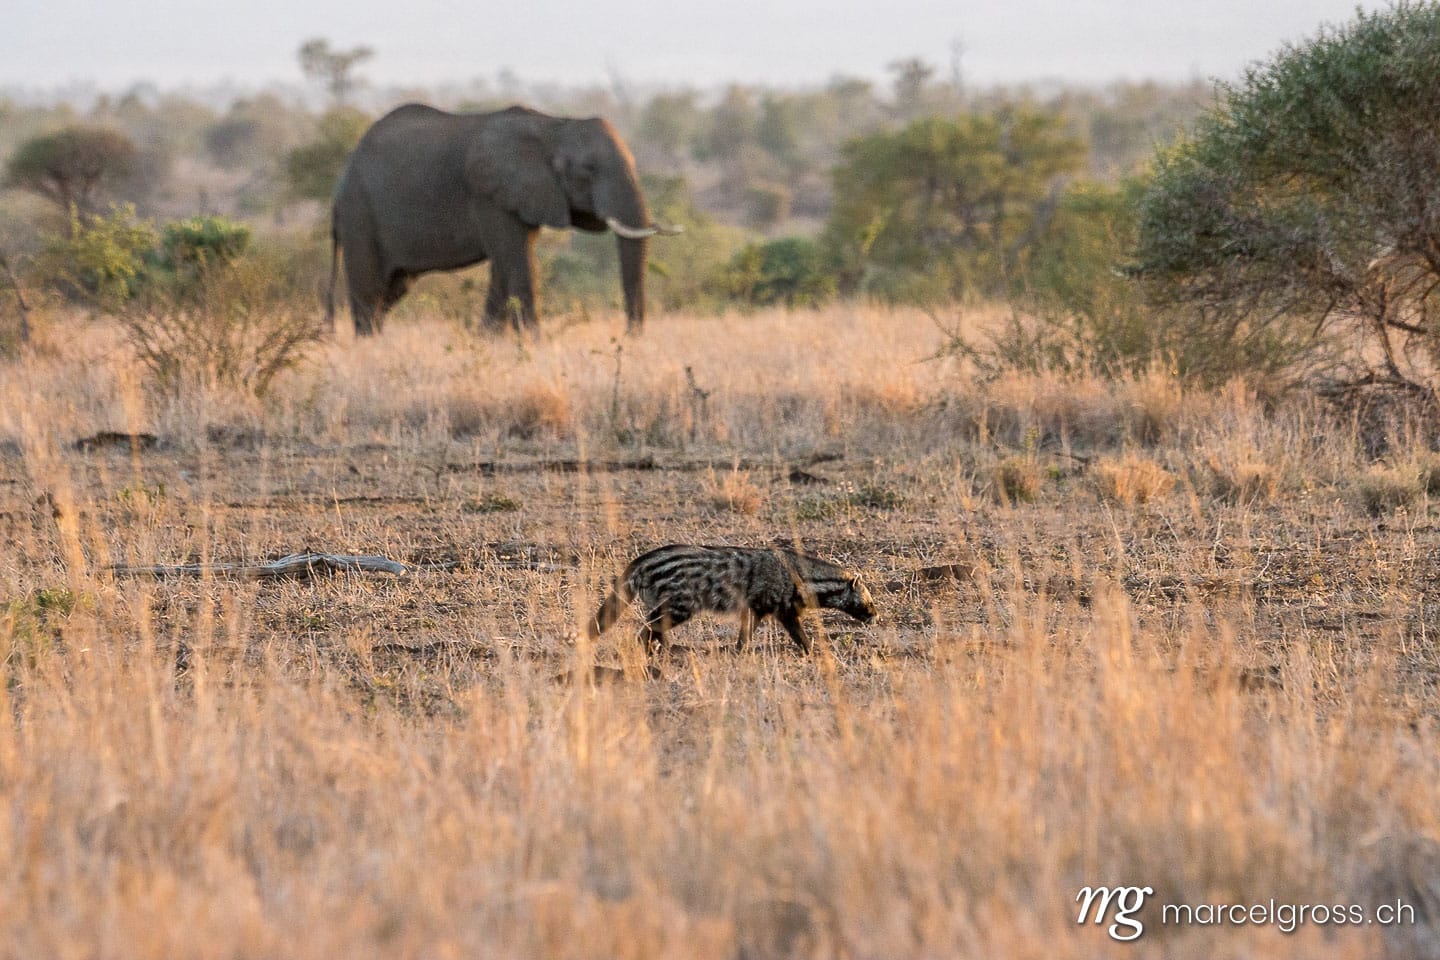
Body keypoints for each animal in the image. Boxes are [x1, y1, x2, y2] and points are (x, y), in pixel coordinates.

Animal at [325, 103, 677, 336]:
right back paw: (368, 345)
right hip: (360, 213)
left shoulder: (525, 196)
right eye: (588, 170)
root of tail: (340, 183)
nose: (628, 337)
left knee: (393, 287)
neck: (554, 126)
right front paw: (534, 342)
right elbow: (515, 259)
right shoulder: (490, 194)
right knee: (370, 286)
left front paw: (489, 339)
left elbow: (506, 263)